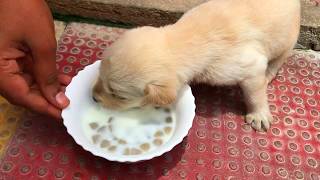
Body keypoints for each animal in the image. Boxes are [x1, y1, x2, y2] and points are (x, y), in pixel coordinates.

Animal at [92, 0, 300, 131]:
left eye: (119, 96)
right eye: (99, 76)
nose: (93, 97)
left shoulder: (251, 67)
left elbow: (255, 94)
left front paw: (259, 114)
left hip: (287, 40)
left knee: (278, 60)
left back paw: (270, 74)